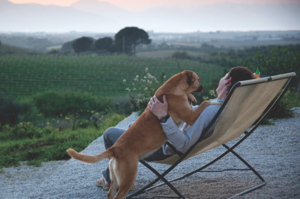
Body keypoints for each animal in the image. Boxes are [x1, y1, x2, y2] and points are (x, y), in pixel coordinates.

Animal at [66, 70, 220, 198]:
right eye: (198, 79)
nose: (203, 88)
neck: (171, 90)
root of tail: (115, 148)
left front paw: (192, 98)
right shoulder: (191, 116)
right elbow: (206, 102)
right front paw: (216, 101)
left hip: (116, 179)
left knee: (110, 194)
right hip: (128, 178)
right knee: (117, 196)